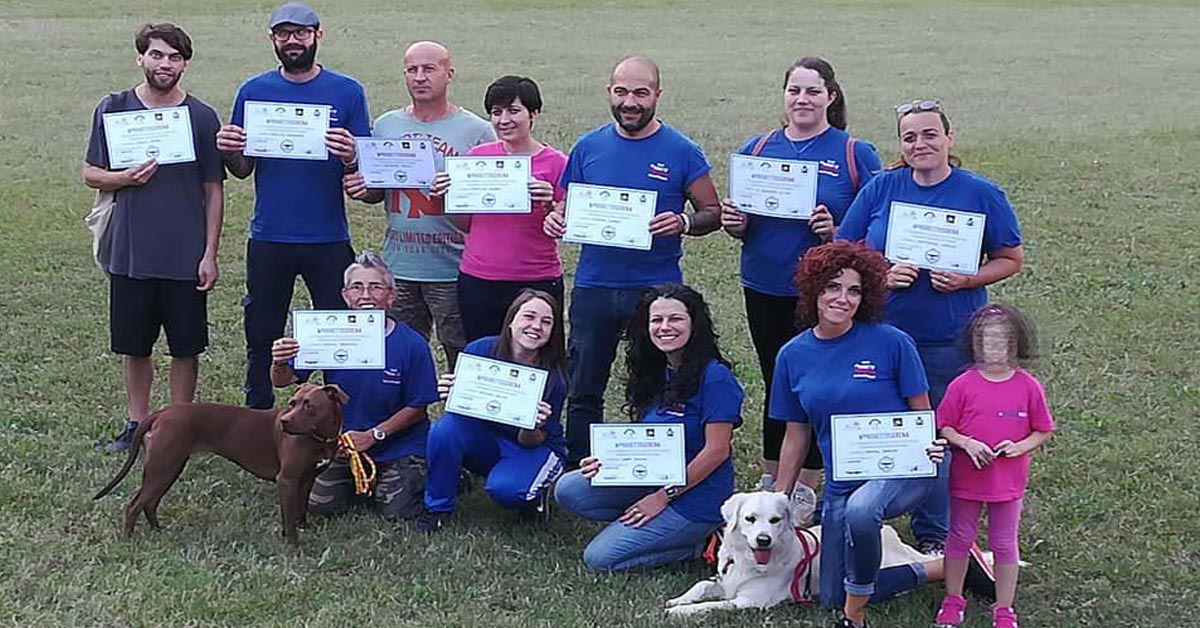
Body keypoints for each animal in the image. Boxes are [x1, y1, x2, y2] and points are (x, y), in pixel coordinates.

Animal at [93, 384, 348, 545]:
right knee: (134, 506)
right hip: (163, 468)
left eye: (309, 405)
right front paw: (293, 545)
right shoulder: (287, 480)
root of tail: (161, 413)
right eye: (292, 403)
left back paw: (158, 531)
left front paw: (303, 528)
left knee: (149, 503)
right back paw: (129, 540)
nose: (284, 422)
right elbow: (289, 518)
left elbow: (300, 510)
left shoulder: (307, 478)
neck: (318, 438)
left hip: (168, 468)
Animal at [672, 489, 931, 614]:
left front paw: (680, 612)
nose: (764, 540)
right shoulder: (724, 580)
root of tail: (894, 540)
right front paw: (677, 600)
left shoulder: (750, 600)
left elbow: (711, 605)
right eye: (750, 519)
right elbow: (701, 585)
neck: (748, 561)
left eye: (775, 520)